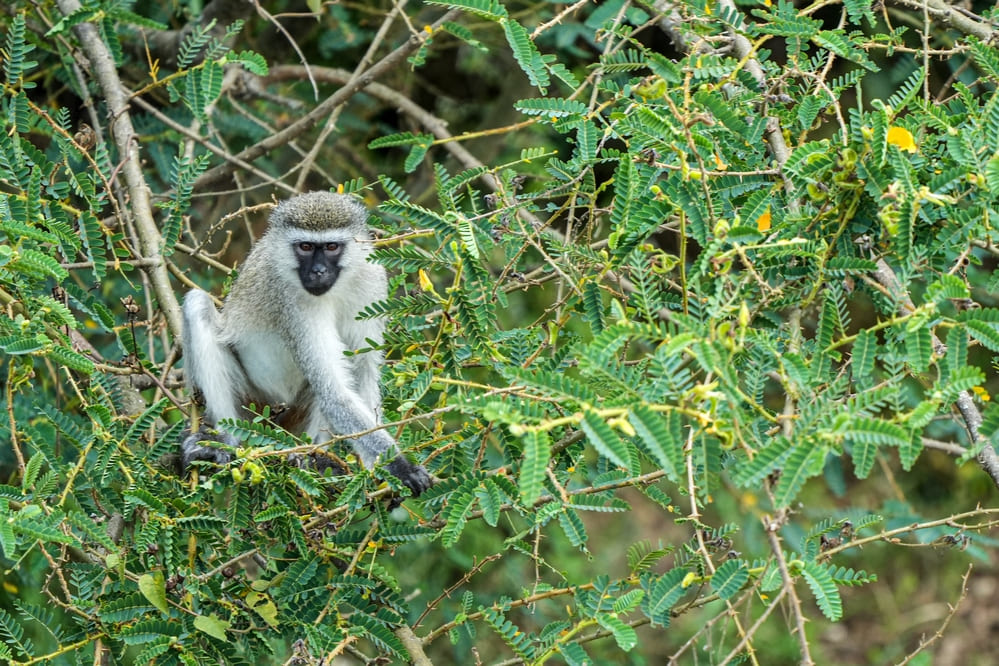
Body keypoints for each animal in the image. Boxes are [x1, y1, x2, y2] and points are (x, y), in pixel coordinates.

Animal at [180, 191, 433, 496]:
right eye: (305, 247)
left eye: (332, 247)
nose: (319, 271)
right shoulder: (291, 301)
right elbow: (334, 392)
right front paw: (401, 467)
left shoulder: (372, 282)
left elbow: (361, 371)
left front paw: (376, 471)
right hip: (252, 404)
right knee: (197, 304)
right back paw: (226, 442)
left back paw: (316, 460)